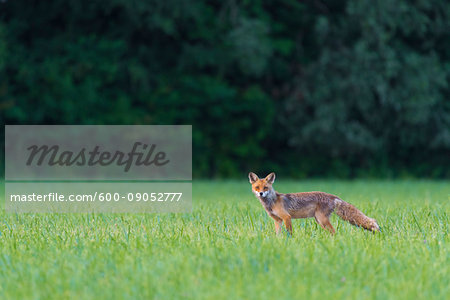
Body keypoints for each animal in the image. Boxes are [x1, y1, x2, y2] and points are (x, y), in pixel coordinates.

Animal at [250, 171, 380, 234]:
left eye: (265, 187)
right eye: (257, 187)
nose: (261, 193)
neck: (272, 202)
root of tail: (332, 195)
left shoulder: (287, 217)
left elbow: (289, 233)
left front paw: (290, 243)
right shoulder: (278, 220)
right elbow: (278, 235)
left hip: (322, 219)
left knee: (334, 232)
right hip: (319, 220)